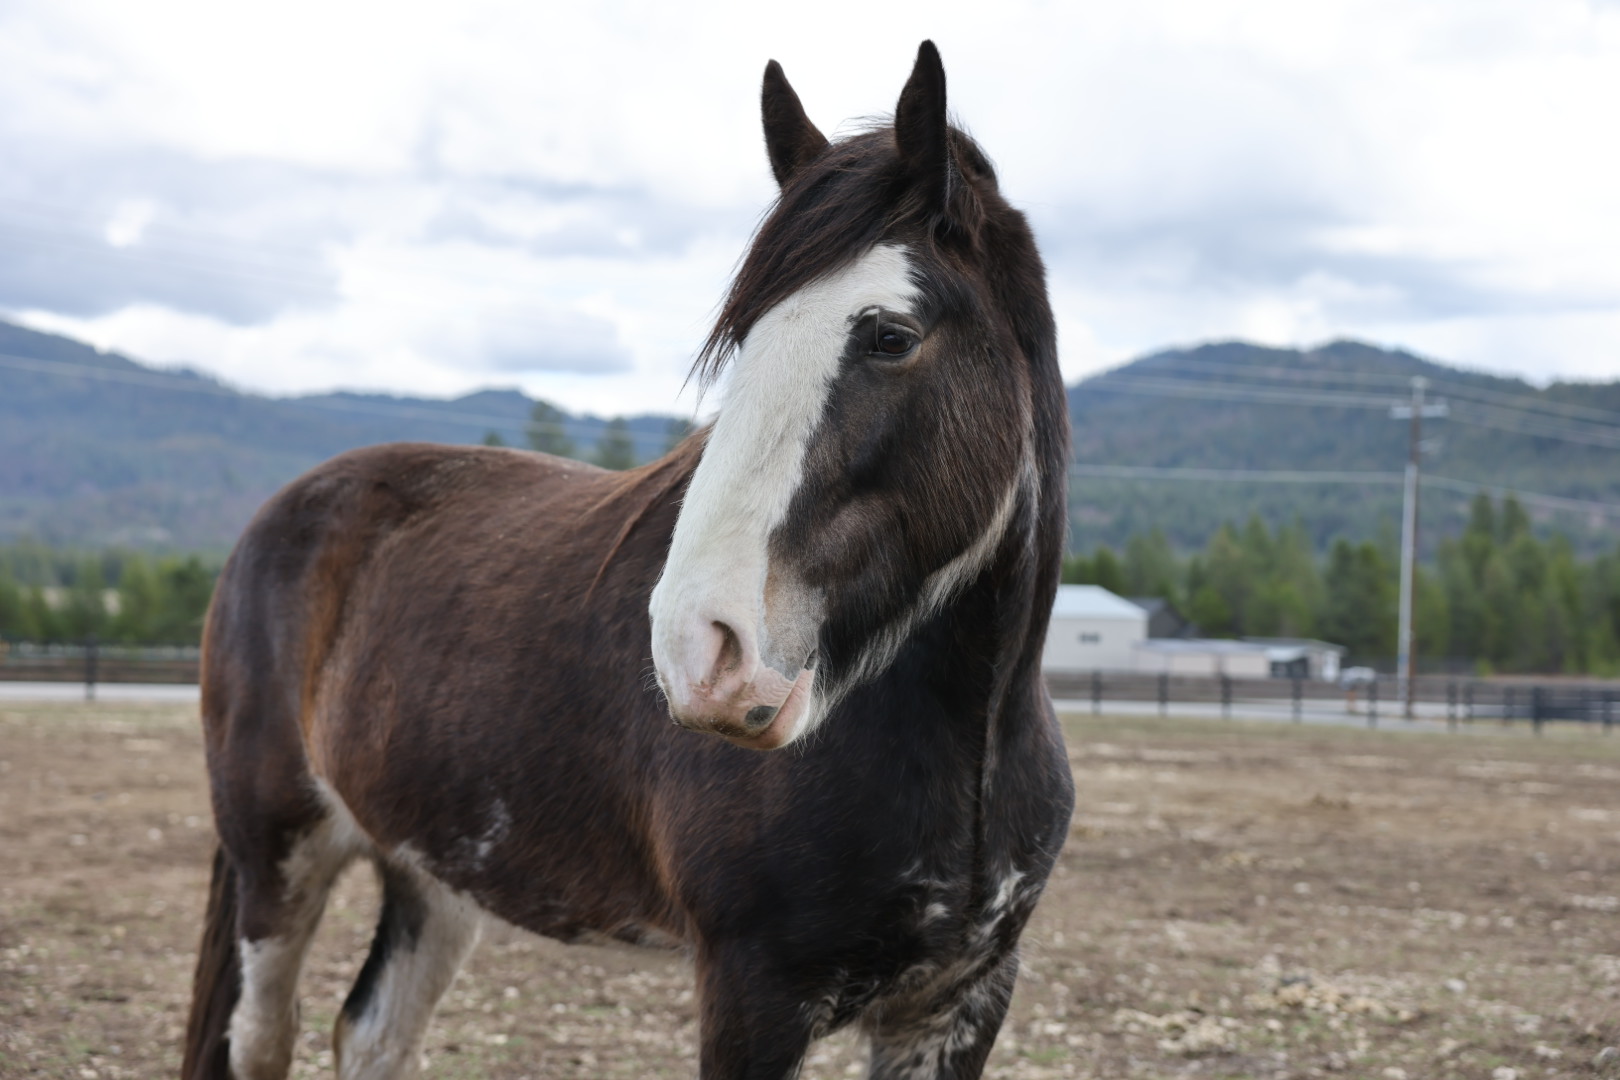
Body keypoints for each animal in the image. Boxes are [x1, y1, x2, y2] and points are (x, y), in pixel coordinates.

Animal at [182, 40, 1074, 1080]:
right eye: (744, 341)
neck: (965, 743)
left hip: (433, 872)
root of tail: (282, 515)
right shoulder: (753, 991)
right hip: (277, 858)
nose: (700, 647)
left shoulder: (958, 1003)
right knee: (260, 1037)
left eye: (890, 337)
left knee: (372, 1034)